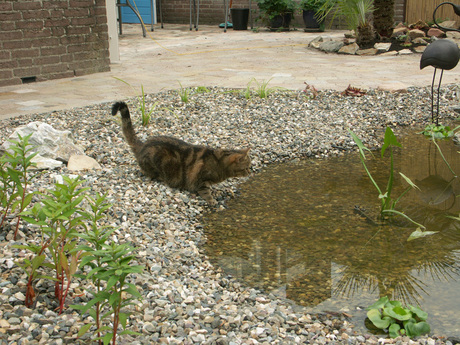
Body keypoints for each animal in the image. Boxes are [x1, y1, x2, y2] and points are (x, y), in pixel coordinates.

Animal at [112, 101, 252, 204]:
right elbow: (206, 194)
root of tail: (143, 144)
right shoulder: (201, 181)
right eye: (246, 168)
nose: (250, 173)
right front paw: (213, 202)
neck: (219, 163)